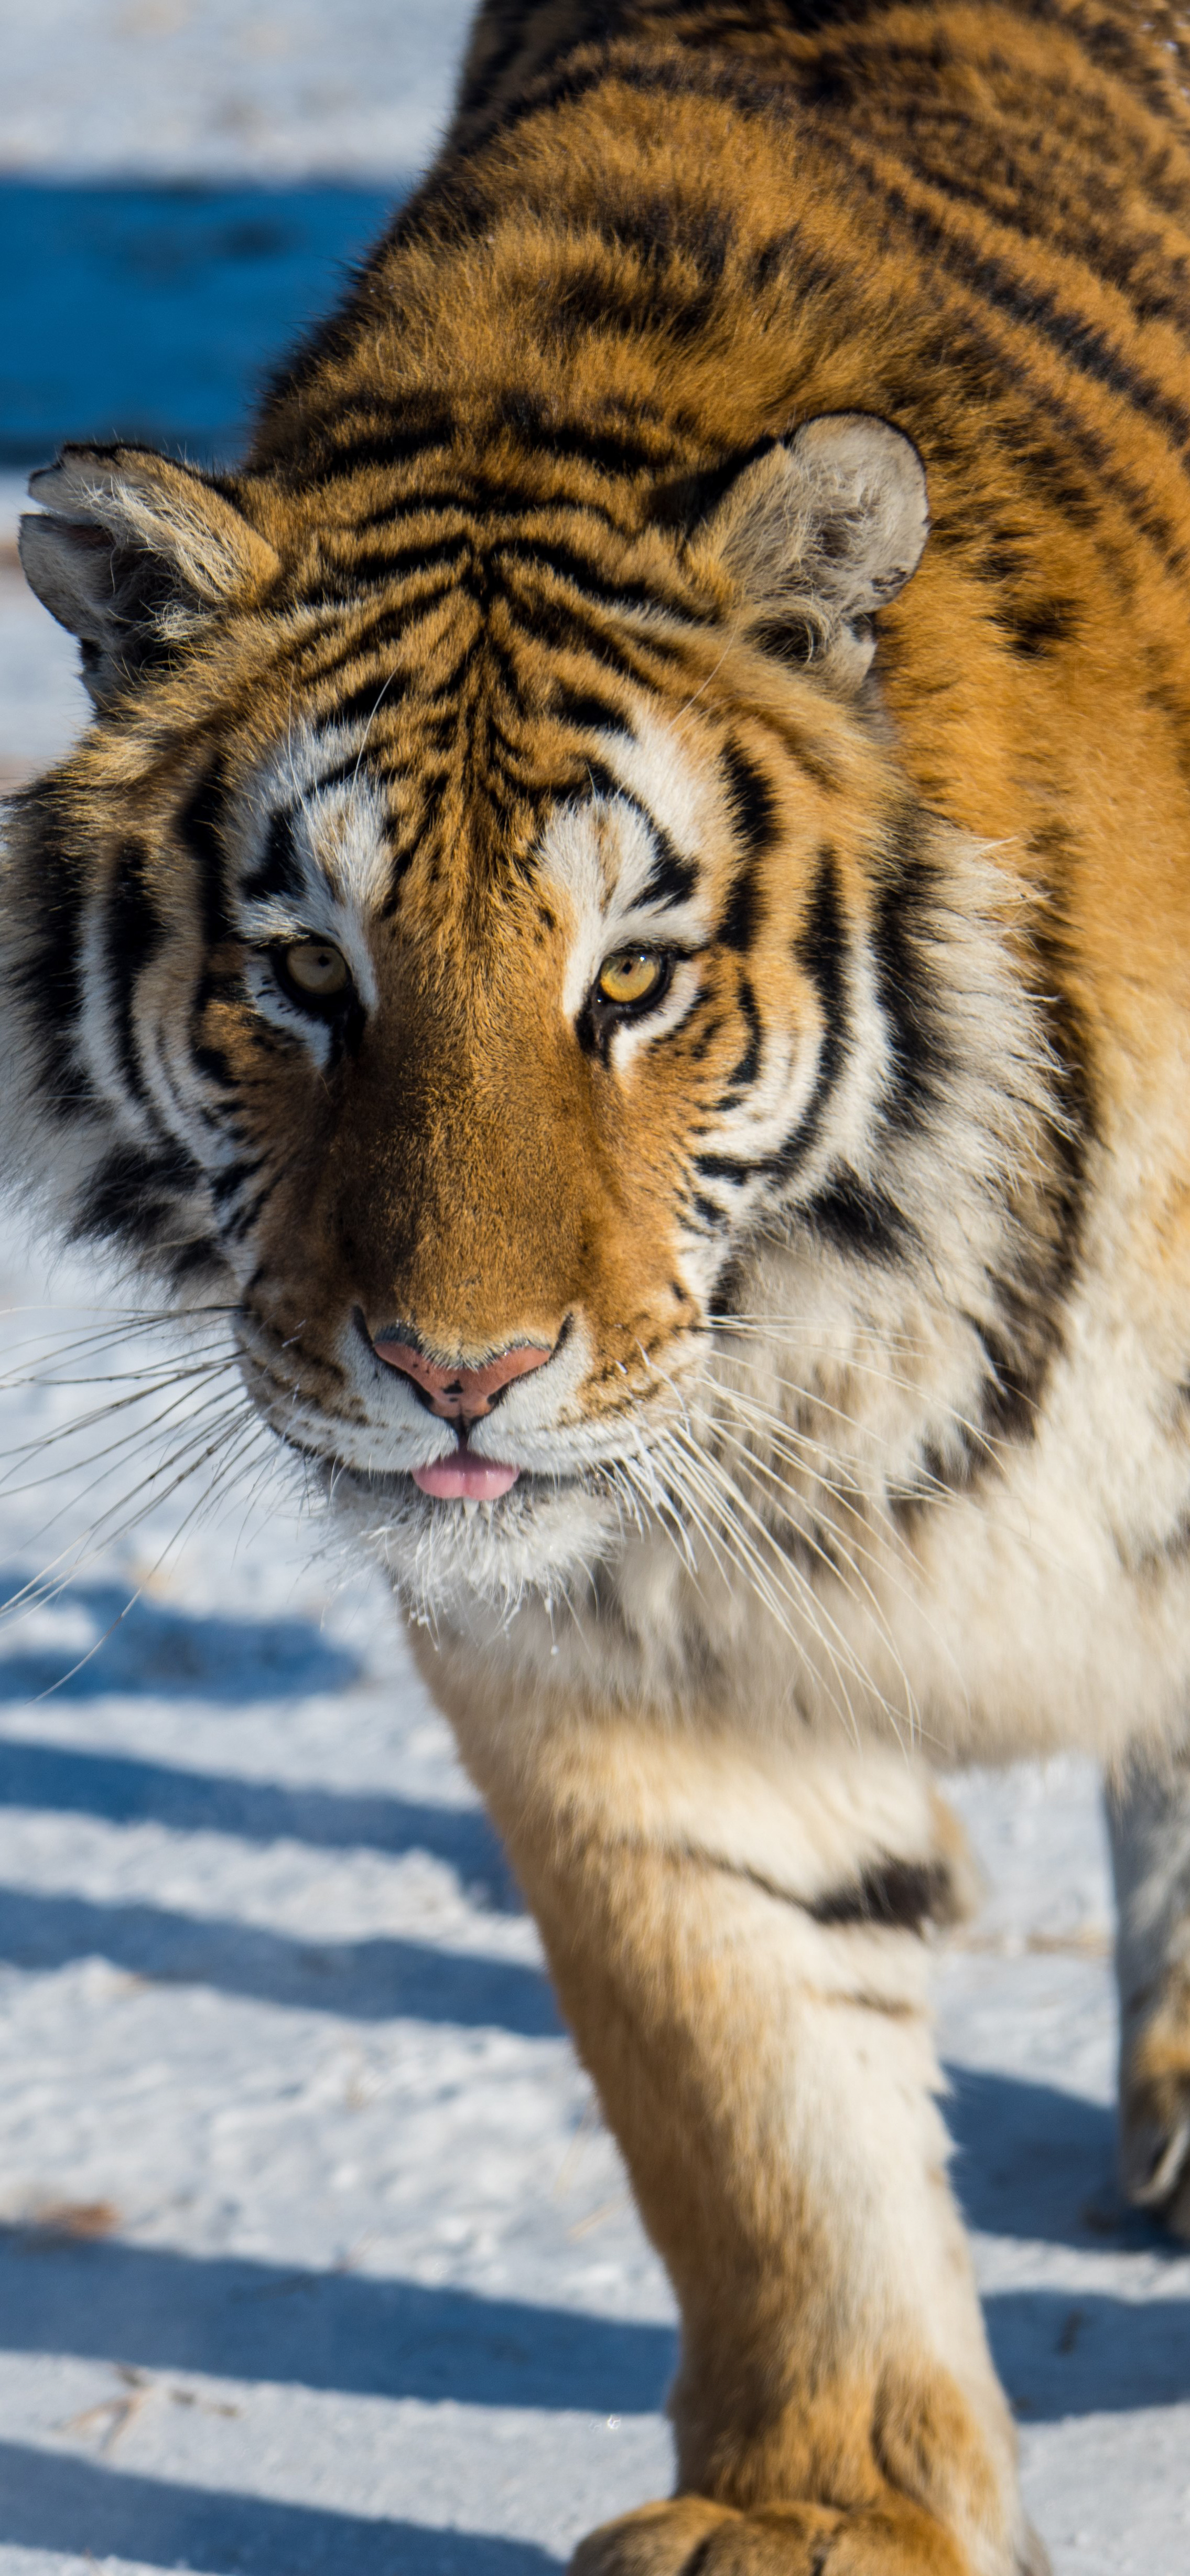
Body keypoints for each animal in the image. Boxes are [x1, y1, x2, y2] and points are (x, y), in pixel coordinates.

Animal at [7, 0, 1190, 2566]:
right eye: (305, 973)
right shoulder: (604, 1649)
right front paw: (825, 2504)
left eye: (631, 978)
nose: (456, 1372)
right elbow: (745, 2077)